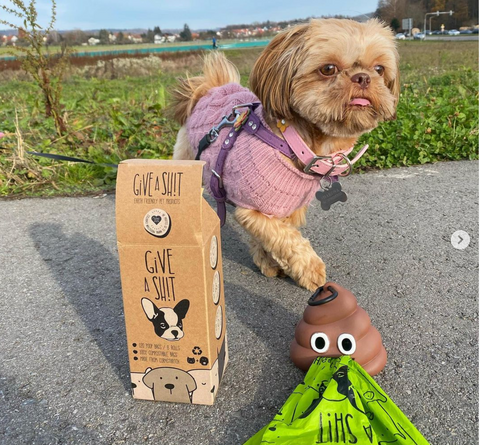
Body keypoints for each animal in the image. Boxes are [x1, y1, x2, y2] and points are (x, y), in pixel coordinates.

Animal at [171, 18, 400, 292]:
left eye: (379, 69)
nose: (363, 77)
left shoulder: (285, 208)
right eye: (328, 69)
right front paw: (310, 269)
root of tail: (212, 87)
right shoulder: (252, 207)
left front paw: (270, 261)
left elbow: (274, 237)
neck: (292, 143)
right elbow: (284, 237)